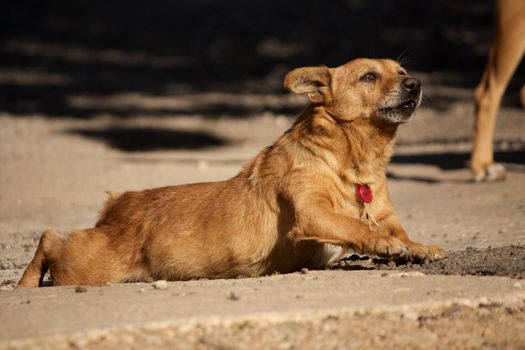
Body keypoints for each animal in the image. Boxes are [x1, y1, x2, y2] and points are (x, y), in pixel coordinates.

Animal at [16, 57, 442, 288]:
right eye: (369, 76)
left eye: (402, 70)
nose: (416, 83)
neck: (357, 162)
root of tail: (121, 201)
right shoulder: (312, 214)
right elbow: (357, 226)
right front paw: (384, 244)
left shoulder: (383, 212)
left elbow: (397, 231)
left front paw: (417, 247)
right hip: (89, 266)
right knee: (50, 237)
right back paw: (24, 283)